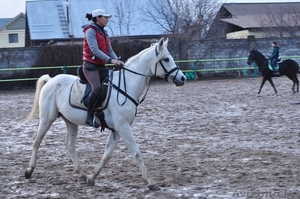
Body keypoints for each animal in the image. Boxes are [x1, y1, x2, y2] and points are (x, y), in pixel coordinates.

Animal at [24, 37, 186, 191]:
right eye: (166, 59)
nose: (182, 78)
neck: (126, 86)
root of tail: (51, 80)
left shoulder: (117, 130)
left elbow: (107, 154)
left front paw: (92, 177)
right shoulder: (123, 127)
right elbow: (137, 153)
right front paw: (151, 183)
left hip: (71, 121)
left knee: (70, 145)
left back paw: (82, 174)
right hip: (47, 119)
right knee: (36, 140)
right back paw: (29, 170)